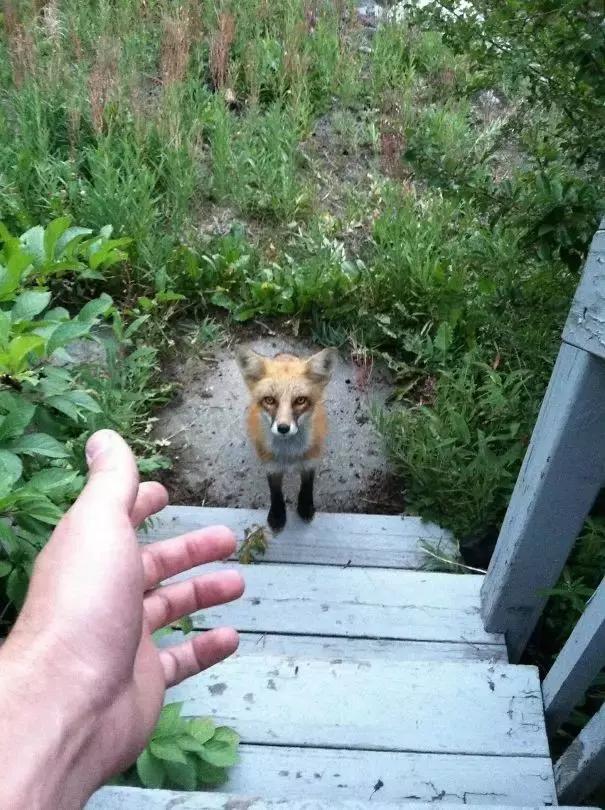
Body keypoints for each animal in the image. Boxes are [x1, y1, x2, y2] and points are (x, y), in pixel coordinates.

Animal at [235, 346, 336, 532]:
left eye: (300, 400)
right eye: (269, 400)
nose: (283, 428)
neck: (289, 454)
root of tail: (285, 356)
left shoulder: (310, 461)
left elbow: (307, 486)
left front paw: (305, 507)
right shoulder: (271, 466)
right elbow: (275, 492)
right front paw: (277, 515)